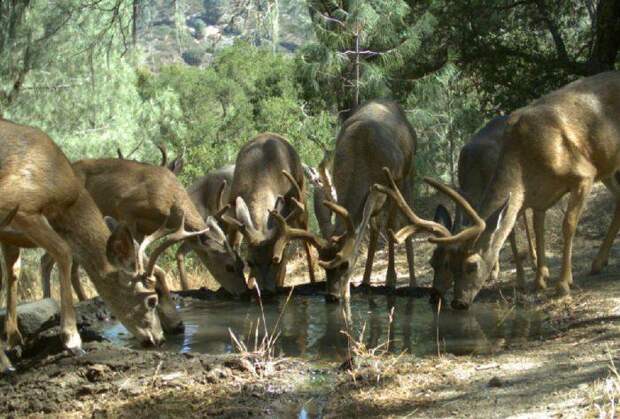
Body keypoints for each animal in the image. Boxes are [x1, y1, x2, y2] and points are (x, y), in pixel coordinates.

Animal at [0, 119, 205, 374]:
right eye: (152, 299)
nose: (160, 339)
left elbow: (17, 271)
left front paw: (15, 341)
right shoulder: (22, 207)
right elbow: (63, 253)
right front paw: (72, 340)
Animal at [220, 134, 314, 296]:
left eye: (275, 260)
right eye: (249, 262)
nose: (265, 291)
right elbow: (232, 247)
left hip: (301, 201)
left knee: (308, 248)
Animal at [266, 98, 416, 302]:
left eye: (344, 264)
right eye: (323, 263)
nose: (332, 296)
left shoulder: (395, 179)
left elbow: (393, 225)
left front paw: (391, 280)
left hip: (408, 172)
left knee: (402, 219)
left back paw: (409, 282)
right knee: (375, 226)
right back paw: (366, 281)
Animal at [426, 115, 536, 302]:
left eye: (447, 264)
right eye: (432, 262)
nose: (435, 296)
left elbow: (510, 232)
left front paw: (521, 280)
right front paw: (493, 270)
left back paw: (534, 261)